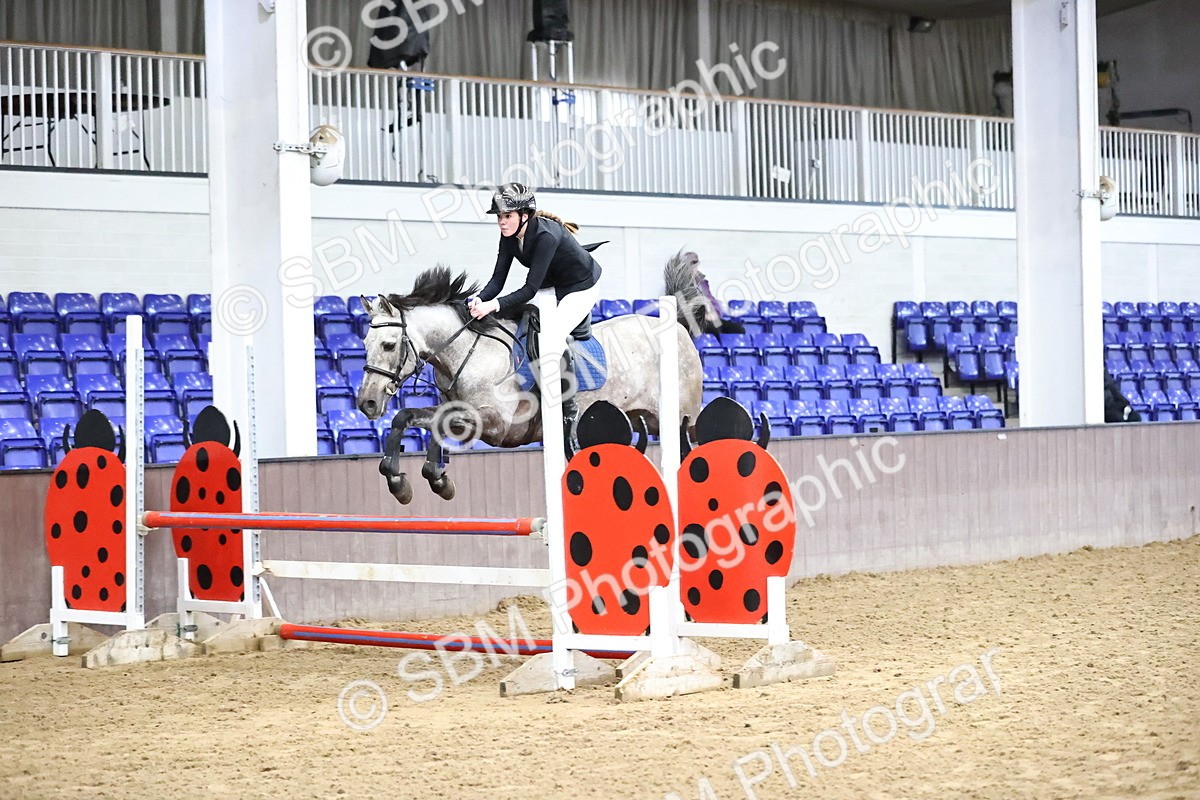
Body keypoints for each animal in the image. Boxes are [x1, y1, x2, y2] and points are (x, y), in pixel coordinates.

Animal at [356, 266, 704, 504]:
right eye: (364, 343)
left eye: (388, 344)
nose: (367, 403)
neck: (472, 351)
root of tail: (680, 328)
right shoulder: (456, 412)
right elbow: (410, 418)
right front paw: (417, 480)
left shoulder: (496, 425)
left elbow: (423, 421)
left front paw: (406, 481)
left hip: (680, 420)